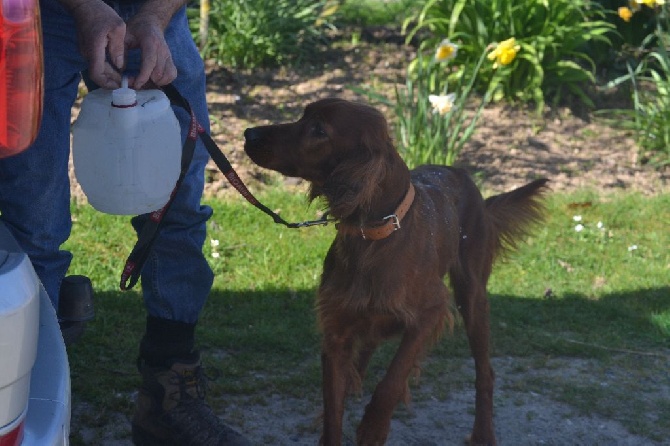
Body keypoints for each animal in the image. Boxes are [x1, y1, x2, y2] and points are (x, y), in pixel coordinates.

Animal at [244, 98, 548, 446]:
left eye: (319, 130)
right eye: (303, 117)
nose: (249, 134)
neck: (374, 235)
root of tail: (460, 173)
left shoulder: (432, 312)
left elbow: (394, 376)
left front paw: (374, 426)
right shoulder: (336, 328)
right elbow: (334, 408)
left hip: (472, 297)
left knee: (485, 373)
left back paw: (483, 433)